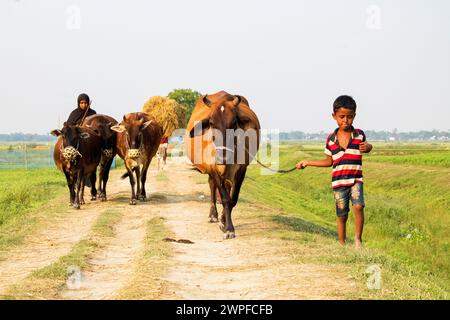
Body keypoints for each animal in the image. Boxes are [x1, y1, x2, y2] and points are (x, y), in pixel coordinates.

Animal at [185, 91, 260, 239]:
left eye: (234, 123)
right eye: (212, 123)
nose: (222, 157)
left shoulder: (242, 170)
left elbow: (232, 199)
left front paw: (226, 223)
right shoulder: (214, 169)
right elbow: (225, 198)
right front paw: (228, 228)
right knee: (212, 185)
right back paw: (213, 215)